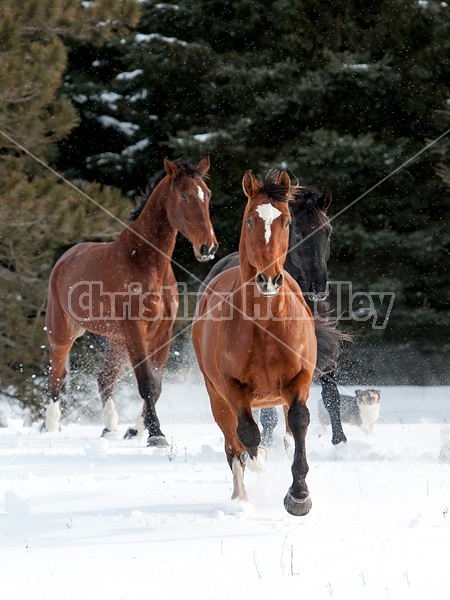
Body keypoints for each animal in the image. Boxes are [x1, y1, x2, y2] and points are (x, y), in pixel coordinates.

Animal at [44, 155, 217, 446]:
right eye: (184, 196)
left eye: (207, 195)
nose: (208, 247)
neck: (145, 262)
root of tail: (66, 258)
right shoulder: (135, 328)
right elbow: (146, 382)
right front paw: (156, 435)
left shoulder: (161, 333)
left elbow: (156, 386)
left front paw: (139, 429)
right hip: (63, 333)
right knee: (56, 377)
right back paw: (51, 426)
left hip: (117, 341)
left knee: (104, 378)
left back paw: (110, 427)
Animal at [192, 170, 316, 516]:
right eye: (250, 220)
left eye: (286, 221)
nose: (269, 279)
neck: (264, 325)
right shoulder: (231, 387)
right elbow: (247, 435)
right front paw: (260, 457)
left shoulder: (300, 378)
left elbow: (298, 423)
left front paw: (299, 496)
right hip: (217, 398)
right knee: (233, 443)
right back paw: (241, 498)